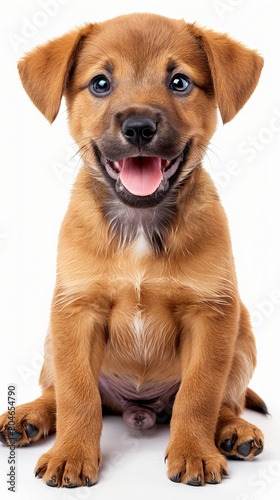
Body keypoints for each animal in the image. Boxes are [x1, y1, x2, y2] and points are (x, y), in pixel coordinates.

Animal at [0, 12, 266, 488]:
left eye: (179, 81)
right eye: (100, 83)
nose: (139, 127)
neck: (140, 225)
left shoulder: (211, 314)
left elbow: (199, 394)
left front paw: (194, 451)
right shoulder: (75, 312)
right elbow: (77, 394)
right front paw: (71, 454)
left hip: (243, 337)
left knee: (226, 400)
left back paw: (234, 430)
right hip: (51, 340)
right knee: (56, 391)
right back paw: (29, 415)